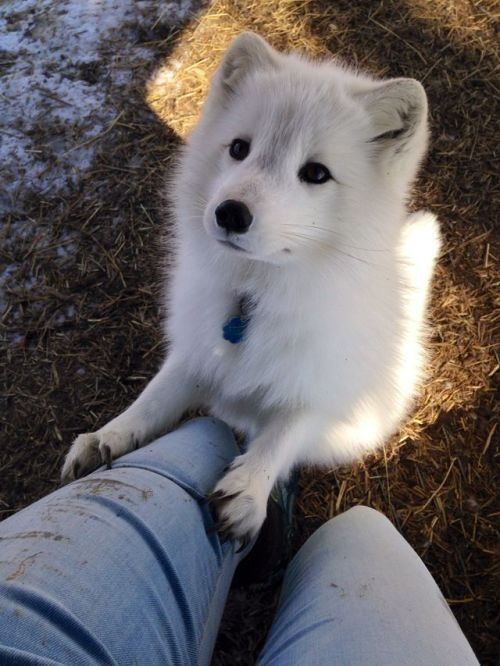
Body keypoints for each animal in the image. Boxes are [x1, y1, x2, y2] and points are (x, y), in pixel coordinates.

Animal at [62, 29, 442, 540]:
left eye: (316, 173)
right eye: (239, 148)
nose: (230, 213)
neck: (252, 296)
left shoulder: (321, 391)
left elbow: (285, 431)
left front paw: (248, 489)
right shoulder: (196, 354)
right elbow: (152, 400)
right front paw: (108, 437)